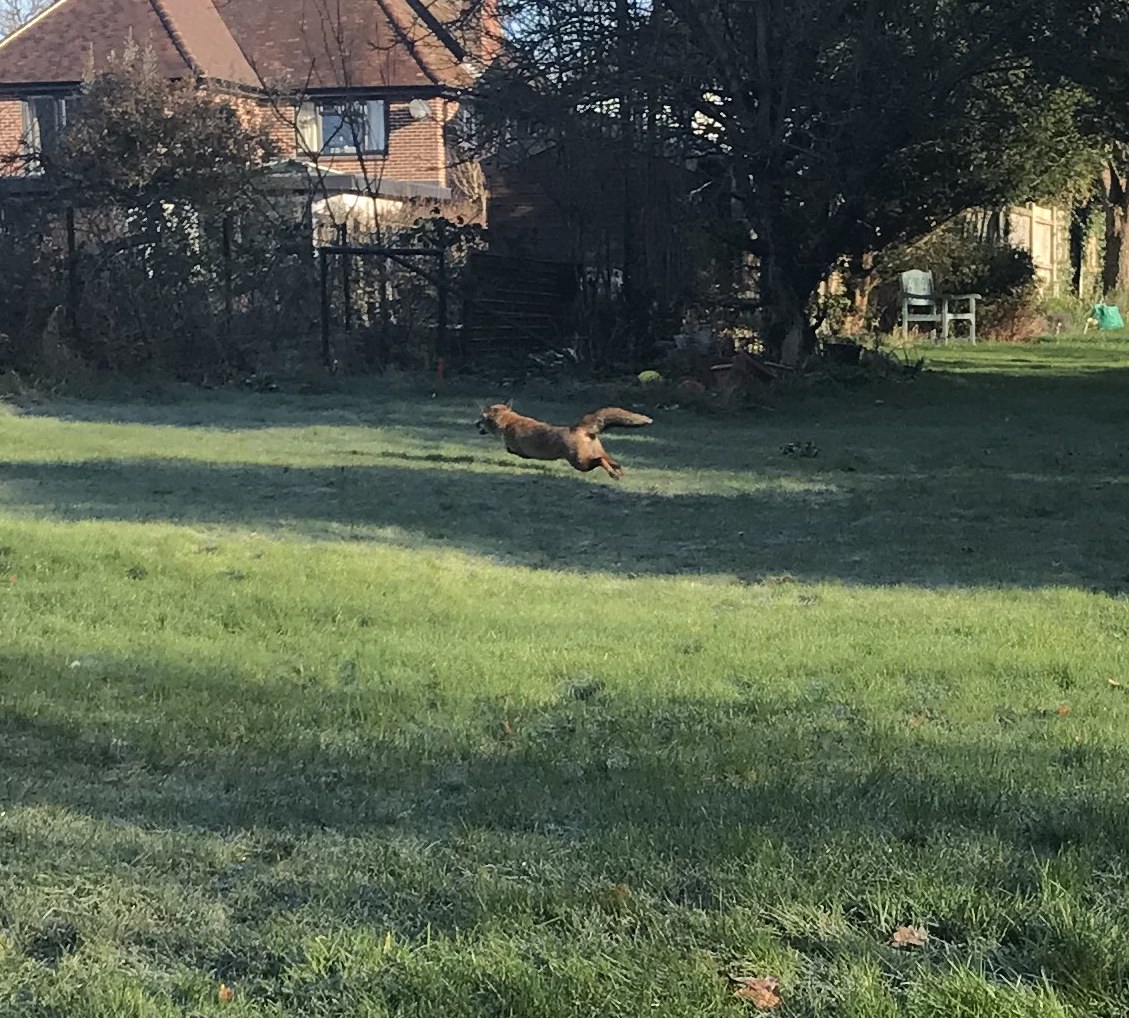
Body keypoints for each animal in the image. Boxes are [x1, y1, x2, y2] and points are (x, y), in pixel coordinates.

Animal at [474, 399, 654, 480]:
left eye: (481, 418)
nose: (474, 424)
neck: (509, 421)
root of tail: (578, 428)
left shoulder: (513, 448)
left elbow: (510, 450)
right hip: (595, 455)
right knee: (613, 462)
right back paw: (618, 472)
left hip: (581, 463)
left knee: (600, 461)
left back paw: (613, 474)